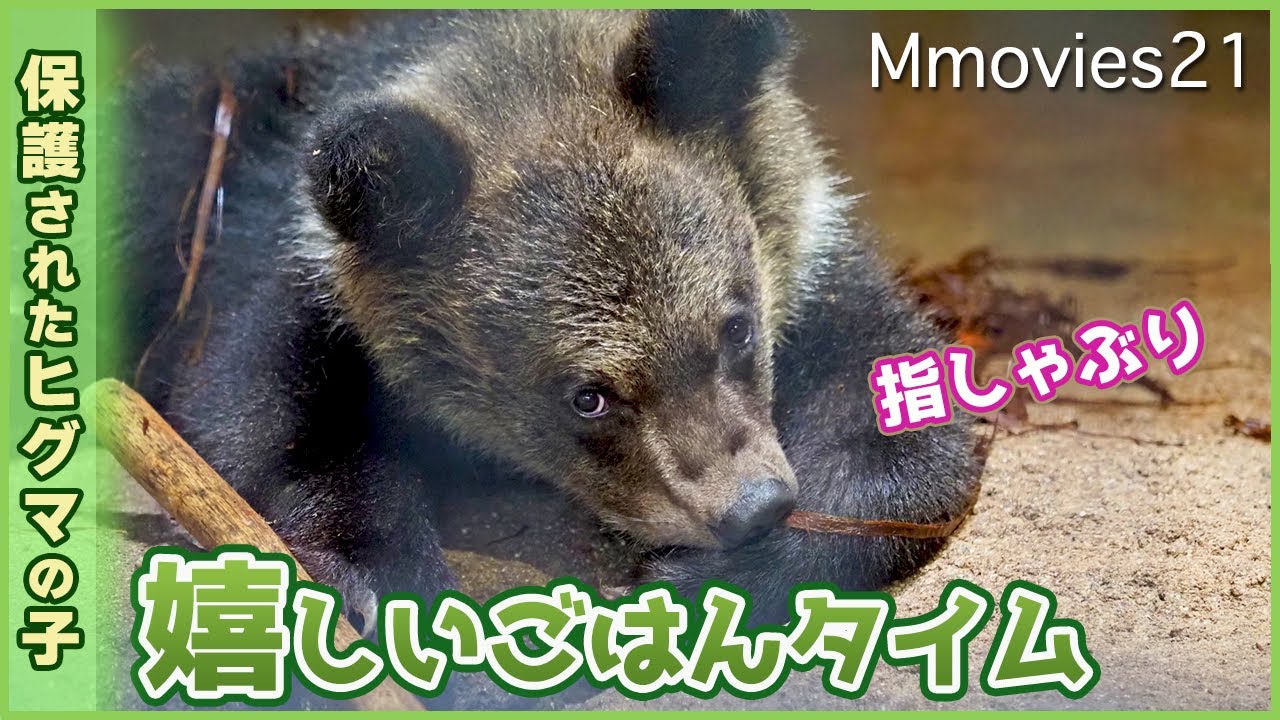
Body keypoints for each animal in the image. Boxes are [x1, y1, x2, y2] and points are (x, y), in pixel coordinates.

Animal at [107, 8, 978, 671]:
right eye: (587, 396)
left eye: (736, 327)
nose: (750, 509)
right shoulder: (289, 295)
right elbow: (264, 432)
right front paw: (387, 584)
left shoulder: (815, 269)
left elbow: (893, 433)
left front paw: (709, 576)